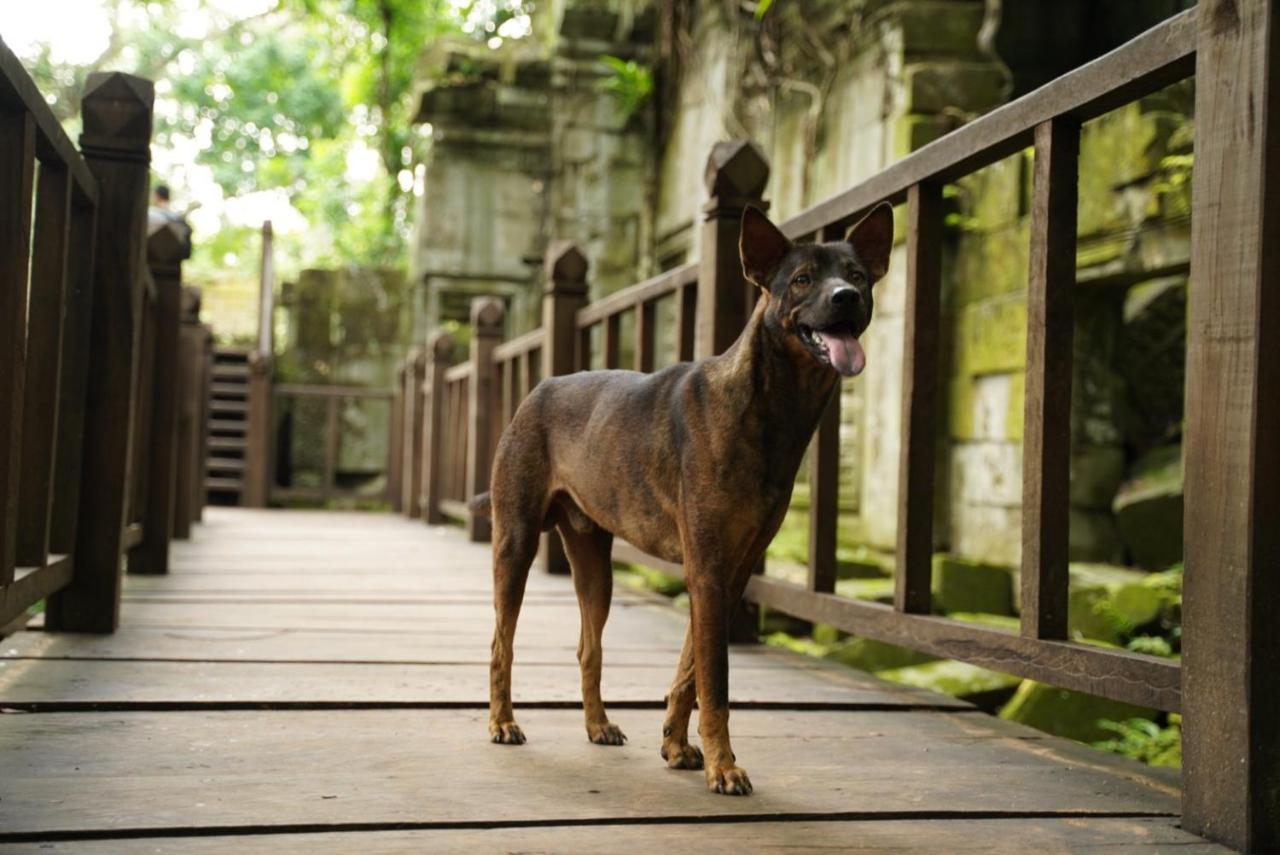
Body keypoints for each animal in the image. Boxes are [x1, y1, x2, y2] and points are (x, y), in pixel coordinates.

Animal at [471, 200, 890, 793]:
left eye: (857, 276)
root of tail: (537, 390)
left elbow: (691, 669)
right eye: (803, 279)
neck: (766, 407)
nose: (845, 298)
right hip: (515, 543)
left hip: (594, 565)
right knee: (499, 644)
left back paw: (597, 724)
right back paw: (502, 722)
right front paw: (724, 764)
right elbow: (715, 679)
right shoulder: (708, 568)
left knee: (588, 647)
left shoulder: (729, 571)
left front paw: (676, 743)